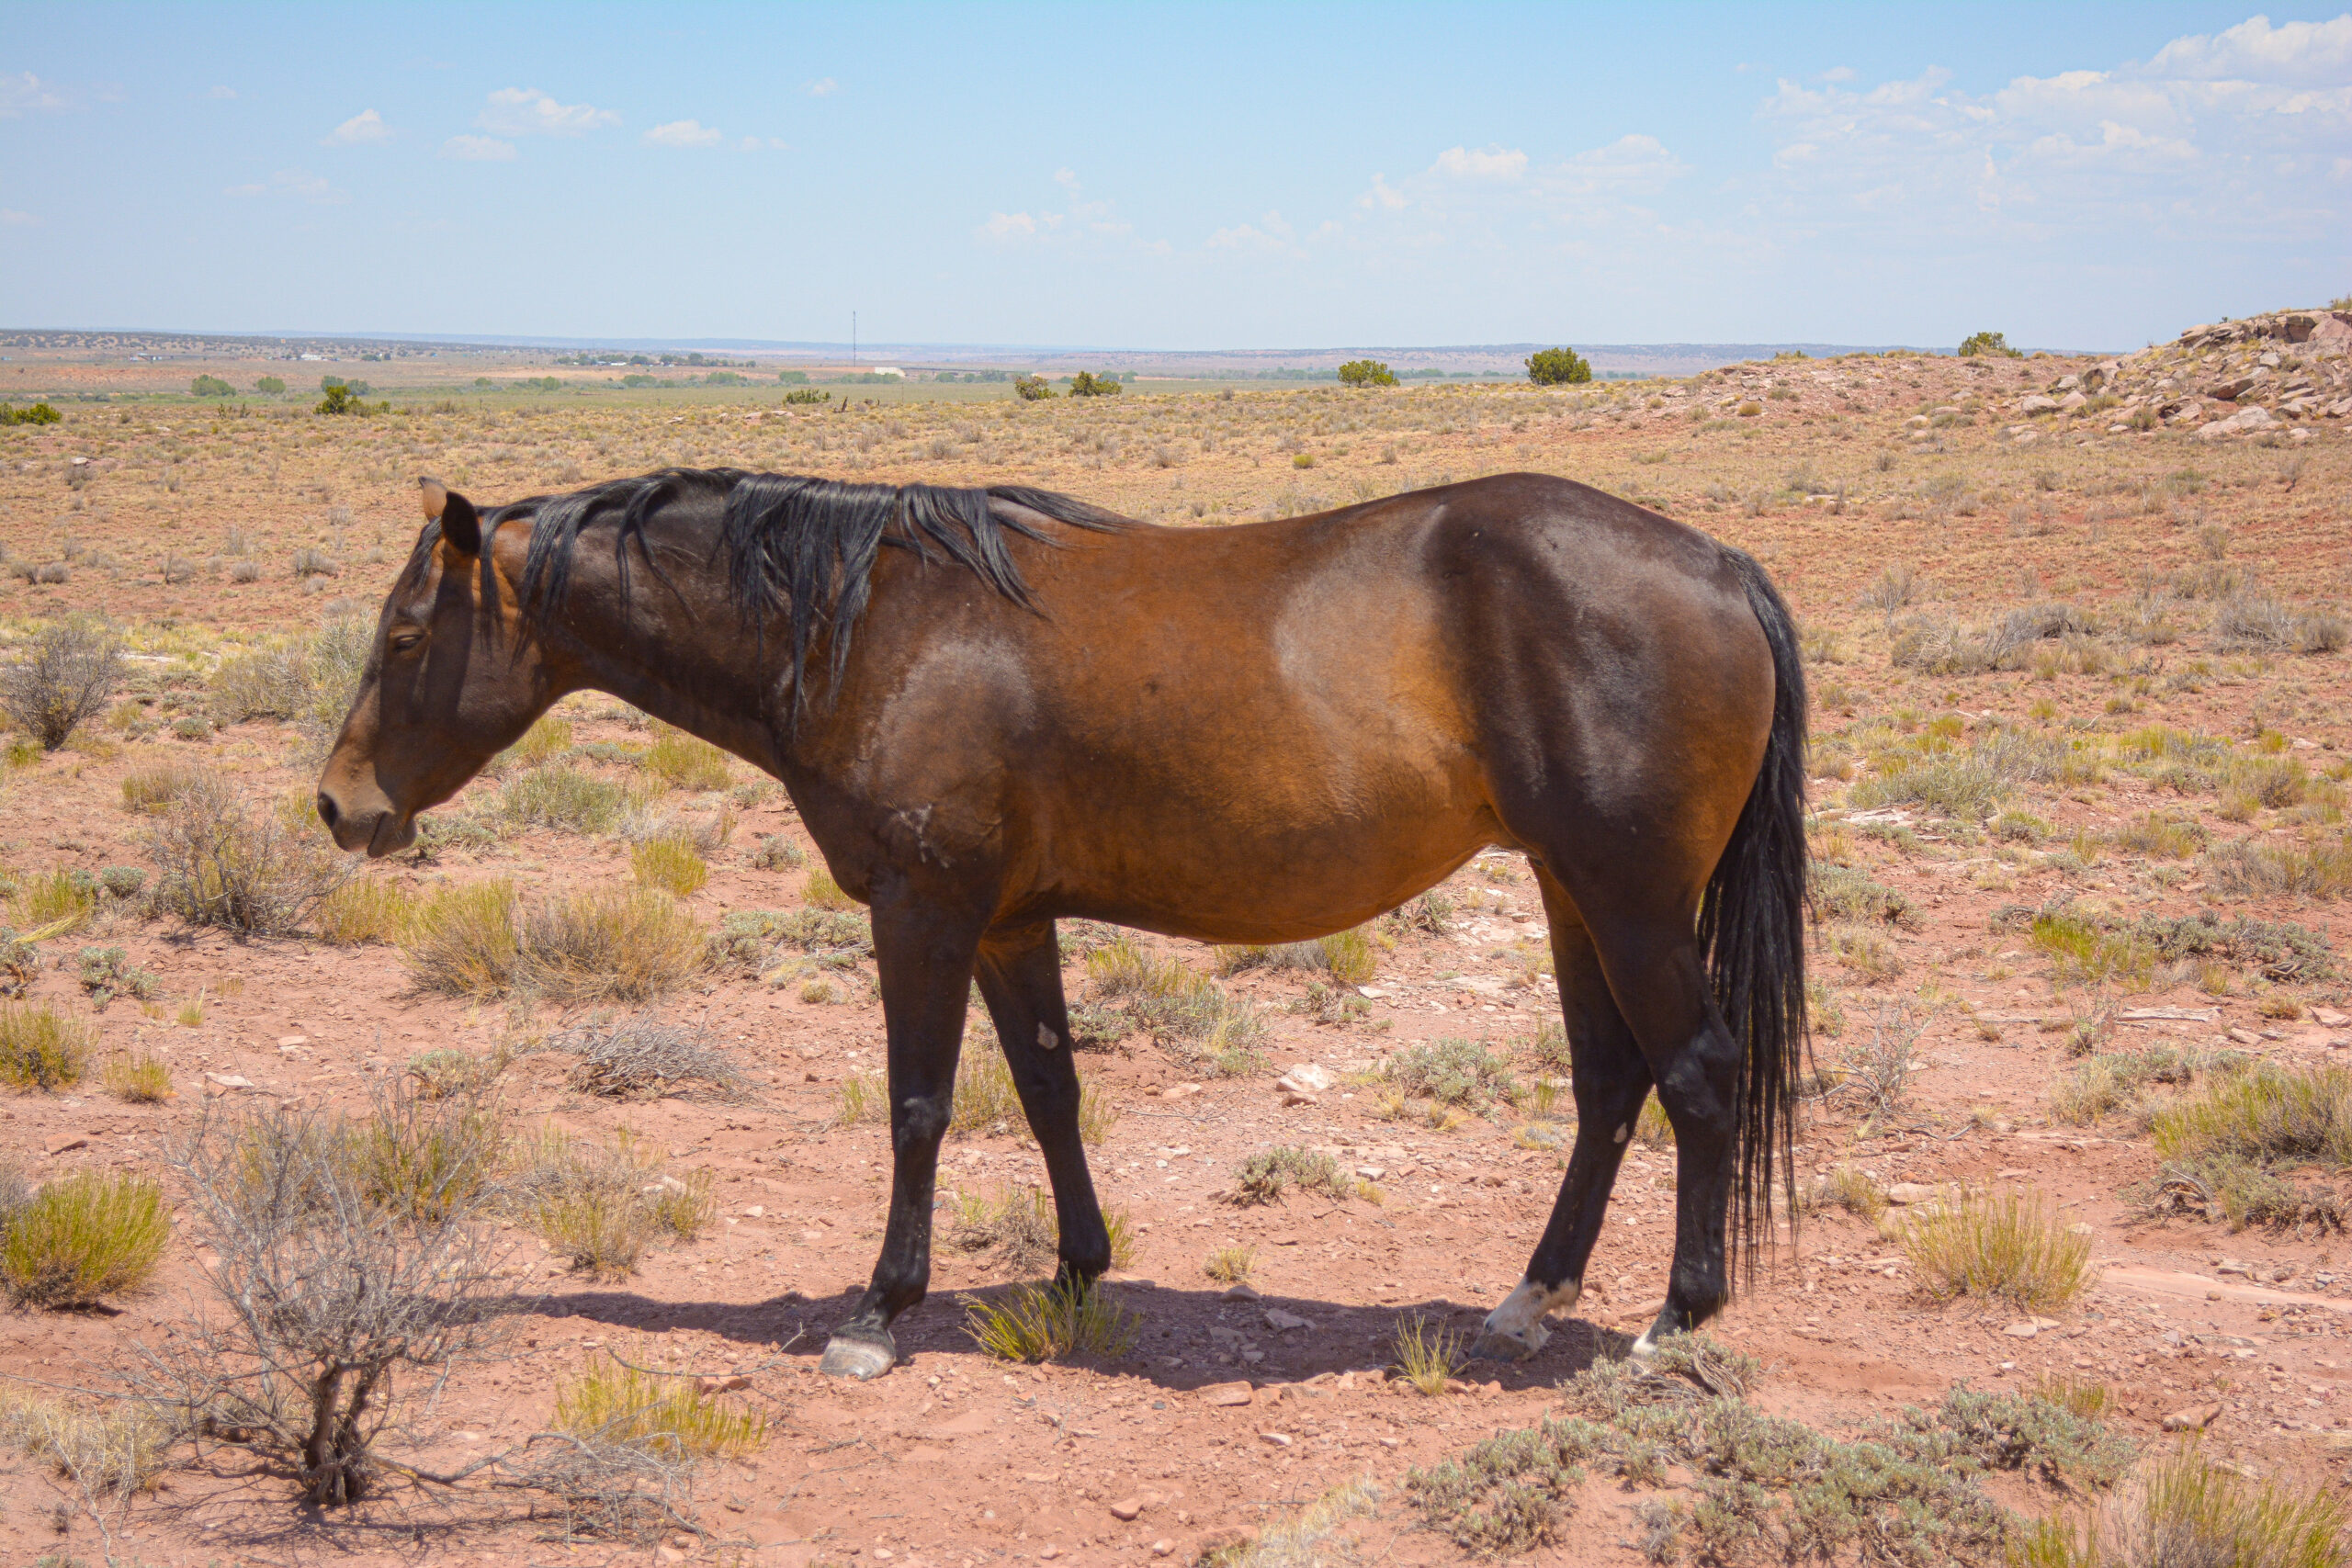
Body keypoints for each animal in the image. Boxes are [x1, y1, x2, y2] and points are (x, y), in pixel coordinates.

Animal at [317, 467, 1807, 1381]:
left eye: (404, 636)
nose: (339, 807)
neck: (869, 625)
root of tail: (1720, 561)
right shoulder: (1005, 923)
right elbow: (1045, 1092)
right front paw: (1079, 1272)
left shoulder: (922, 911)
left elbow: (919, 1104)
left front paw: (879, 1309)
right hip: (1569, 890)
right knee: (1609, 1084)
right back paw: (1527, 1301)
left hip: (1628, 897)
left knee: (1696, 1074)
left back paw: (1676, 1318)